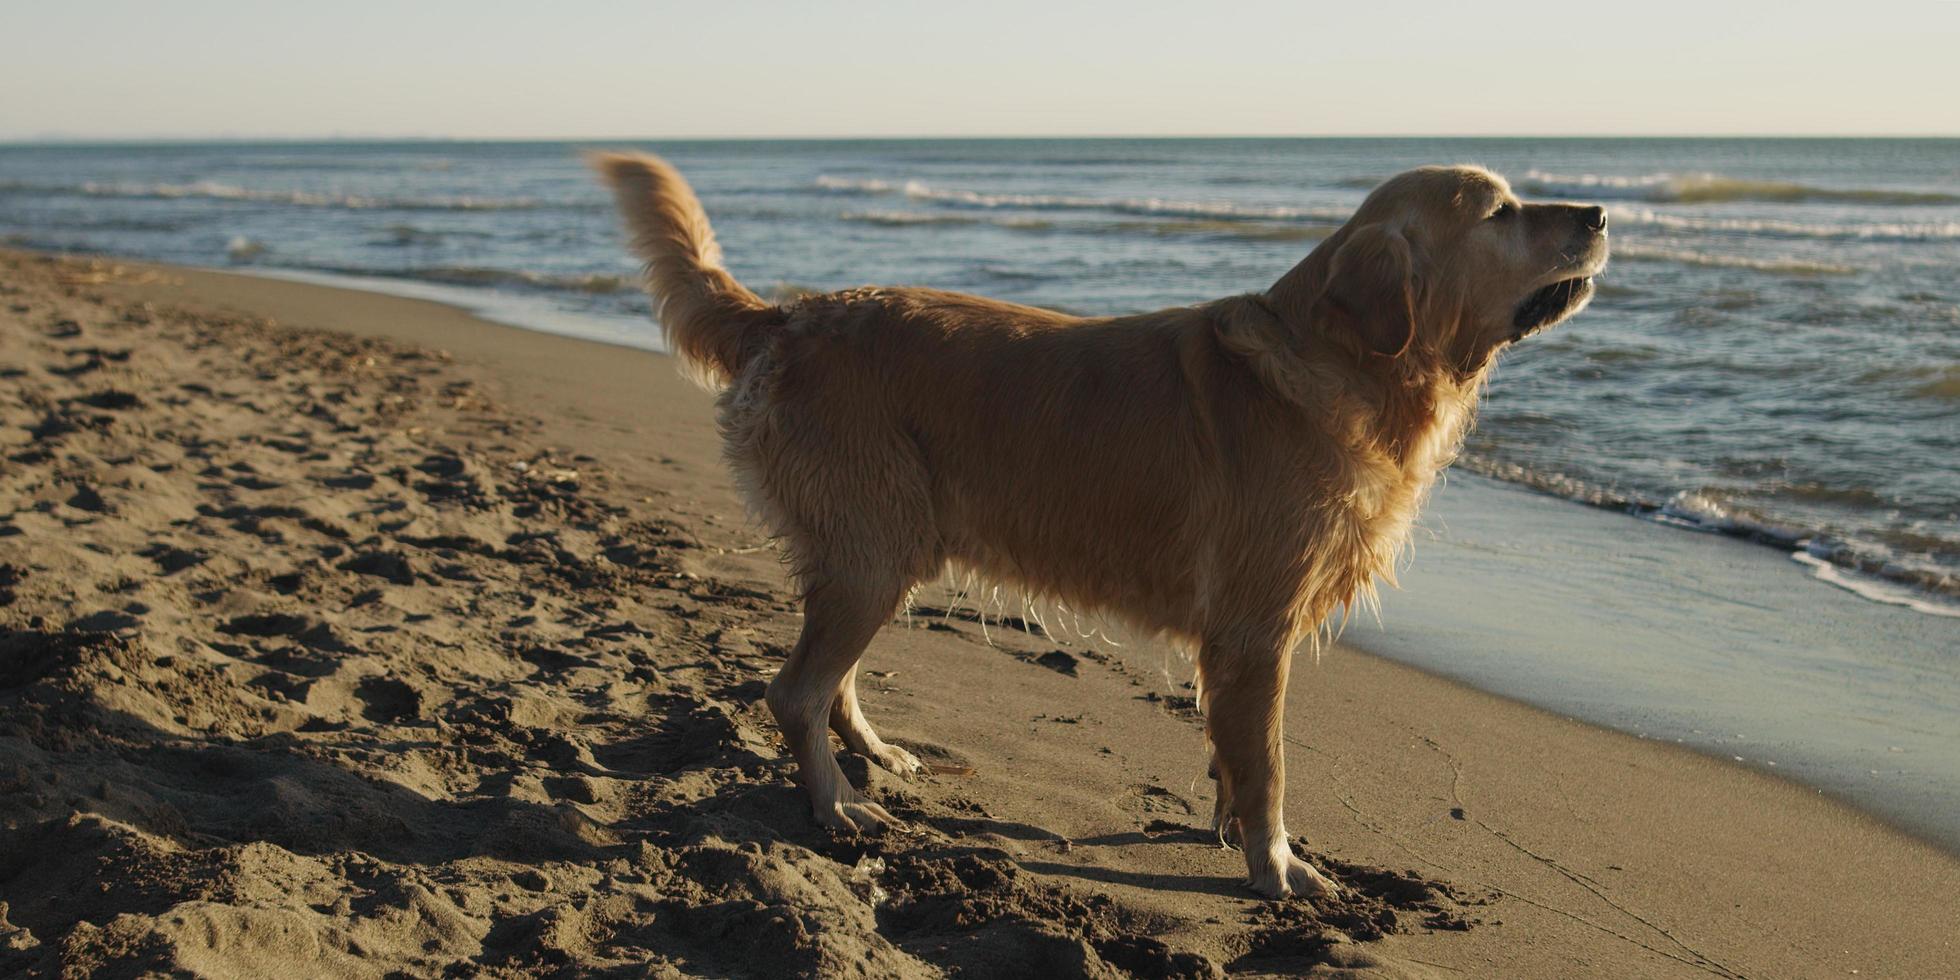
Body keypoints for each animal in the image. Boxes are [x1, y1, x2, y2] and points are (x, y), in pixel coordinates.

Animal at [588, 150, 1599, 897]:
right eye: (1500, 211)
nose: (1596, 211)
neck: (1345, 363)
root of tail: (788, 315)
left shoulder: (1235, 643)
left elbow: (1234, 756)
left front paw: (1228, 825)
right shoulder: (1257, 628)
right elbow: (1271, 766)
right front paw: (1277, 867)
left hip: (871, 552)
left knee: (830, 681)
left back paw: (875, 755)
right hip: (875, 551)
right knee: (793, 692)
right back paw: (837, 806)